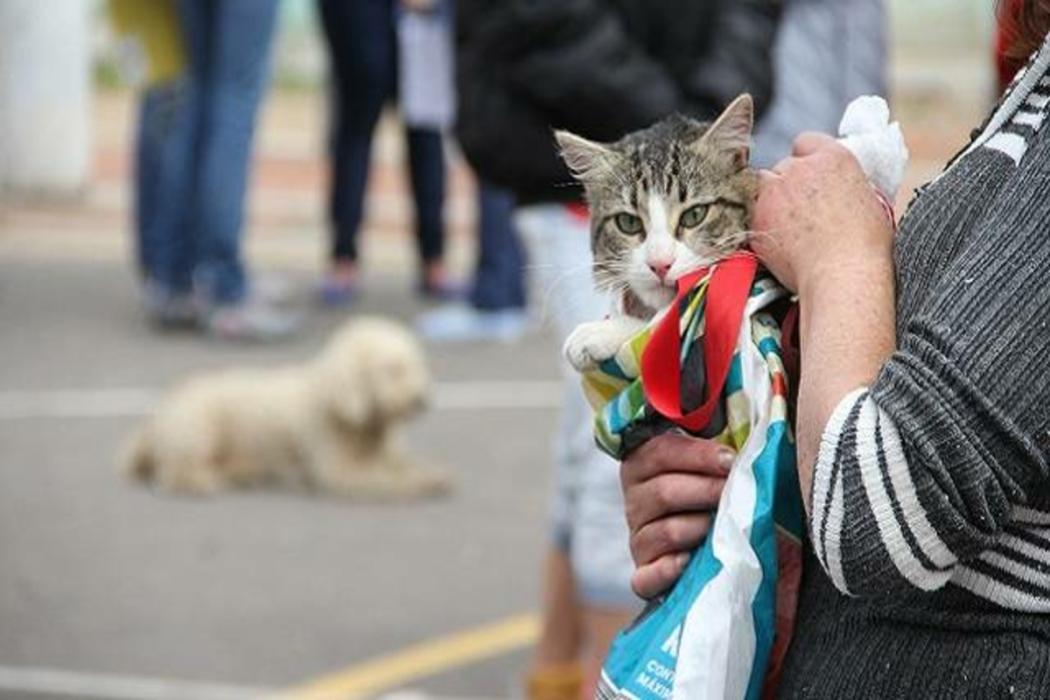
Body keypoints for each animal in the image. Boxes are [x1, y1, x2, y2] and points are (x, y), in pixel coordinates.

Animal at [122, 316, 451, 497]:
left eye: (417, 365)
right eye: (392, 370)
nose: (423, 400)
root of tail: (152, 423)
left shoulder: (384, 450)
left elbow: (400, 463)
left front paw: (429, 471)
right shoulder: (336, 464)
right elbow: (375, 477)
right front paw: (418, 481)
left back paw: (246, 475)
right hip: (196, 426)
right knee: (173, 472)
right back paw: (204, 482)